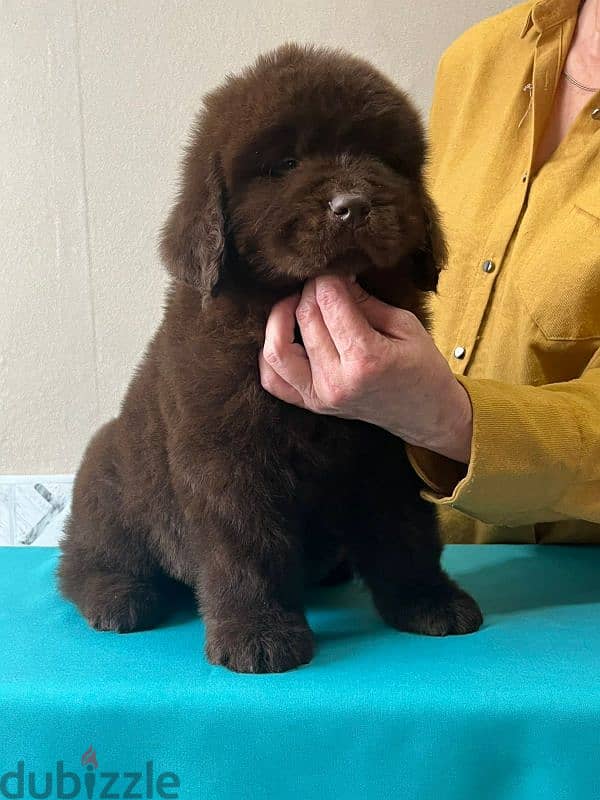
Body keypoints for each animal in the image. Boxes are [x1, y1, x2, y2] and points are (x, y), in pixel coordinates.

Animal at [58, 42, 482, 668]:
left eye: (380, 159)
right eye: (284, 164)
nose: (353, 205)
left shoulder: (386, 439)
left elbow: (406, 529)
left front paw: (427, 599)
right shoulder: (228, 453)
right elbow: (246, 543)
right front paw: (257, 634)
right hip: (110, 481)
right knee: (85, 558)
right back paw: (117, 596)